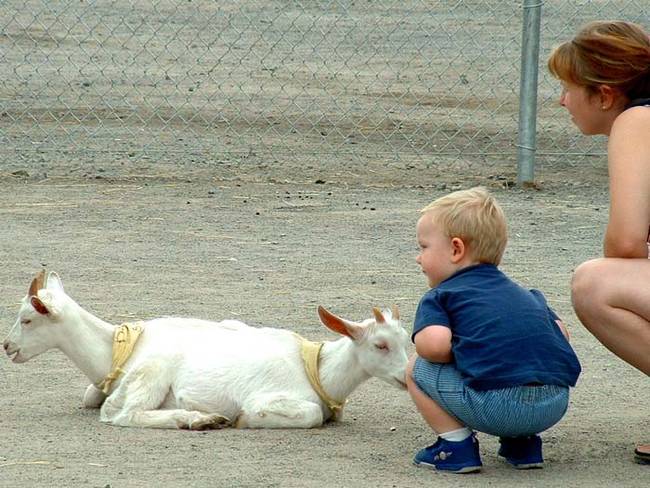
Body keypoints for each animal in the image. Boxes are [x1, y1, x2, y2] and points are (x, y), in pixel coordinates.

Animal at [2, 272, 408, 428]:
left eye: (26, 319)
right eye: (380, 344)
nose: (7, 346)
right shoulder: (275, 395)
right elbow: (305, 414)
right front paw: (244, 418)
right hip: (153, 373)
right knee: (126, 415)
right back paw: (198, 419)